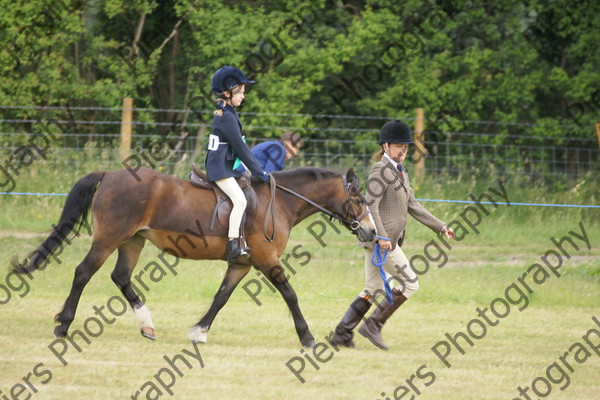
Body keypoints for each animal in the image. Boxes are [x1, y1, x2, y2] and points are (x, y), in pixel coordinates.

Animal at [14, 166, 376, 346]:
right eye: (359, 199)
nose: (372, 233)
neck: (280, 202)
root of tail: (111, 175)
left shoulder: (241, 263)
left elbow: (221, 297)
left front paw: (199, 331)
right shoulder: (265, 260)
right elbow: (290, 294)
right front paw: (308, 337)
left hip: (133, 240)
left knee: (121, 277)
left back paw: (147, 326)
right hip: (109, 238)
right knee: (83, 272)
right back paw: (63, 325)